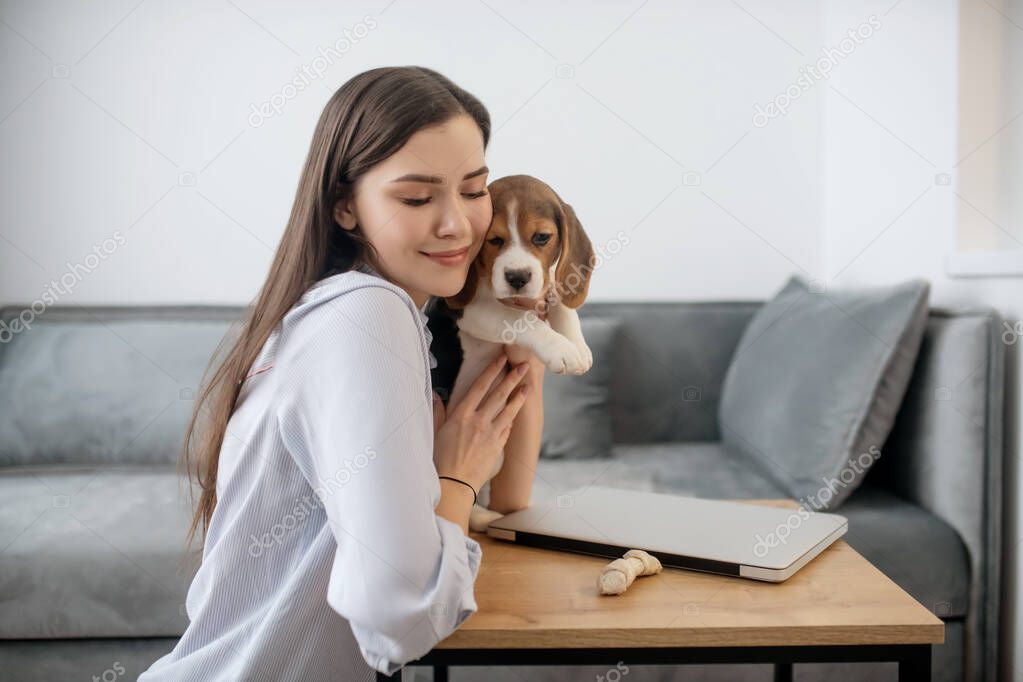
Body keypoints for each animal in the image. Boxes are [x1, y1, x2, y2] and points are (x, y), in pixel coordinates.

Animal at [427, 173, 597, 531]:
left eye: (542, 237)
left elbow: (559, 299)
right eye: (494, 240)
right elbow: (520, 319)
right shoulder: (471, 310)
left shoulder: (544, 288)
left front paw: (577, 344)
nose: (517, 277)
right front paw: (561, 349)